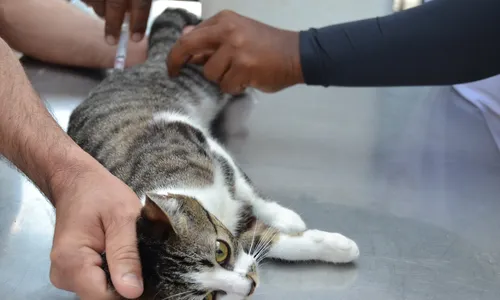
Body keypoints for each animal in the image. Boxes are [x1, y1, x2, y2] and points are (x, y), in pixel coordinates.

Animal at [66, 7, 360, 300]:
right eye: (209, 296)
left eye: (220, 251)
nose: (250, 285)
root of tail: (151, 62)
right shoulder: (236, 230)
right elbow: (264, 239)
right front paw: (335, 246)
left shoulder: (194, 137)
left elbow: (246, 187)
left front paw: (284, 217)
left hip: (205, 71)